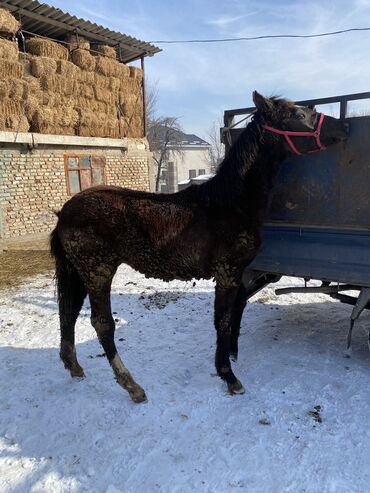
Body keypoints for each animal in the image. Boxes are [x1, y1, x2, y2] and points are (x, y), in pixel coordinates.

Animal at [50, 91, 348, 400]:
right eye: (299, 115)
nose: (344, 127)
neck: (230, 203)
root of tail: (65, 212)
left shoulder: (236, 274)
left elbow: (233, 313)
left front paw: (230, 357)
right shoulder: (227, 272)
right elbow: (223, 320)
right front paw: (229, 376)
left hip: (78, 272)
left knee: (69, 312)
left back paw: (74, 367)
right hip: (98, 271)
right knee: (102, 323)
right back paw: (131, 385)